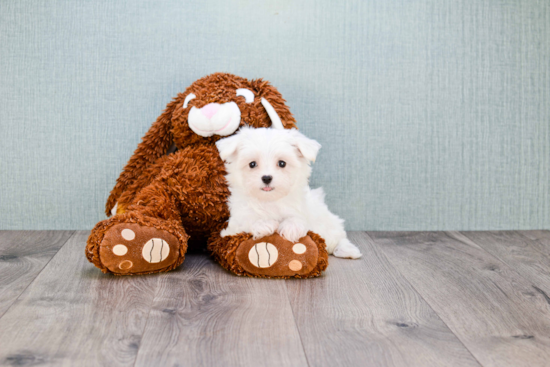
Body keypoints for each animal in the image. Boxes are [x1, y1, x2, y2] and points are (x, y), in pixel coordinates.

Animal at [216, 128, 362, 260]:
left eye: (282, 163)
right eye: (252, 164)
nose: (267, 178)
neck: (269, 200)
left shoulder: (301, 209)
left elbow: (298, 217)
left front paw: (291, 227)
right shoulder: (233, 226)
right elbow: (246, 220)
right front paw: (263, 224)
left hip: (327, 222)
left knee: (337, 236)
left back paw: (347, 250)